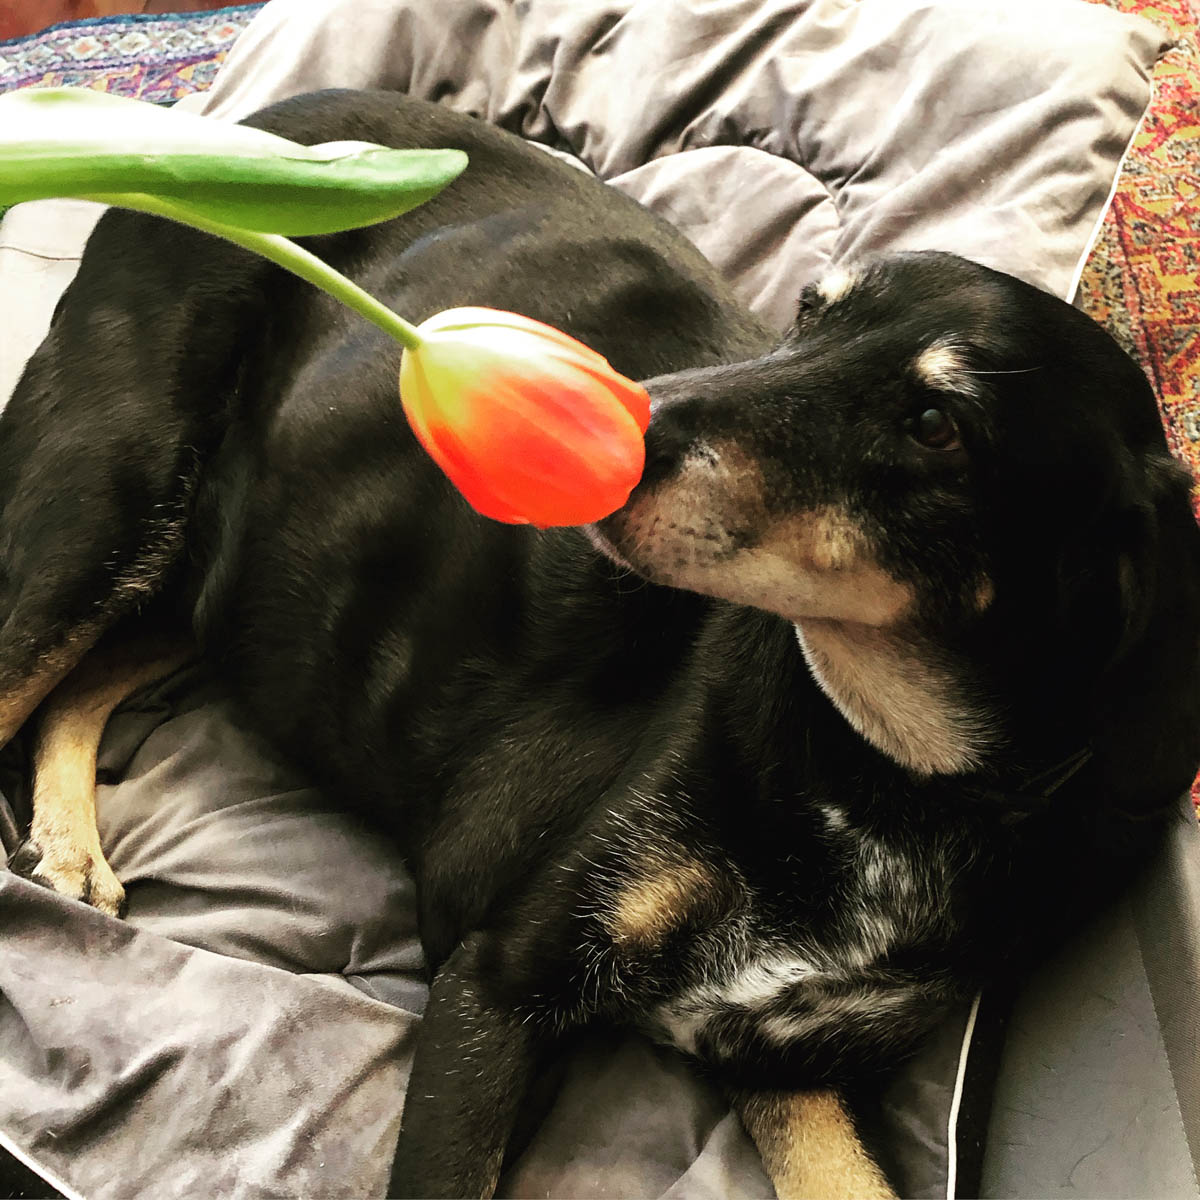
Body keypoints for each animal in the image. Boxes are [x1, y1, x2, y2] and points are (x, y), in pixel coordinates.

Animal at [2, 88, 1200, 1195]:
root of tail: (247, 123)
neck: (887, 776)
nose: (622, 424)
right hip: (109, 504)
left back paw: (68, 841)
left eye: (936, 425)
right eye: (809, 315)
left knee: (89, 678)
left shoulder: (783, 1061)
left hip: (213, 583)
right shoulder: (497, 983)